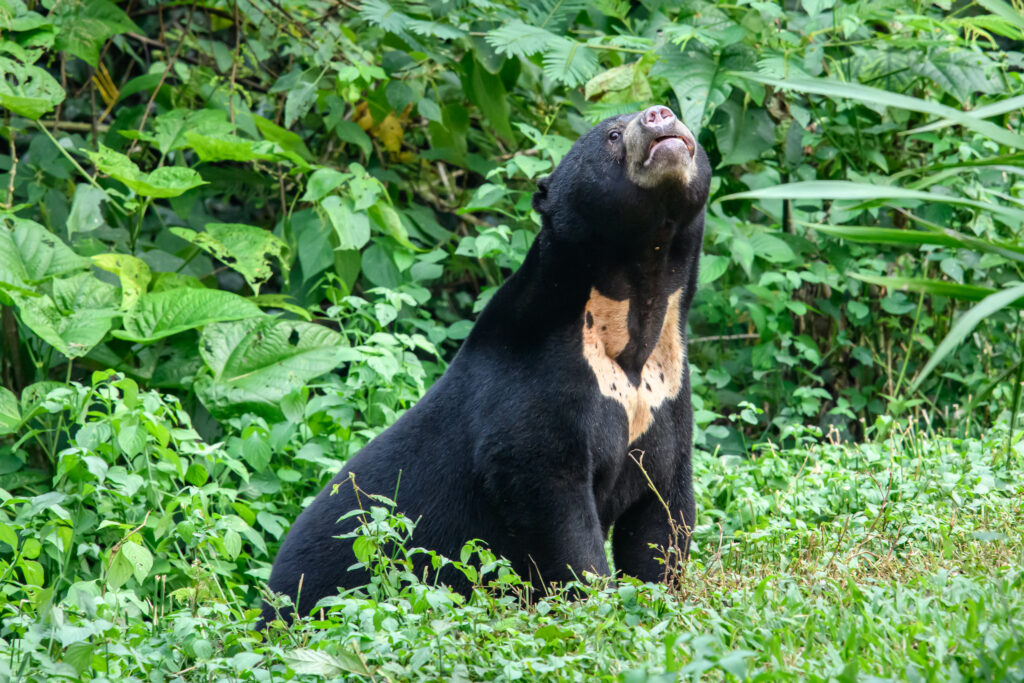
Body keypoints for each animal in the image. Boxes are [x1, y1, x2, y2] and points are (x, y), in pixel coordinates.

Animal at [262, 105, 711, 622]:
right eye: (613, 135)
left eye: (668, 109)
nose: (660, 115)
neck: (630, 322)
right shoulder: (535, 393)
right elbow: (555, 509)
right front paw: (597, 606)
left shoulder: (666, 399)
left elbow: (663, 516)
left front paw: (659, 599)